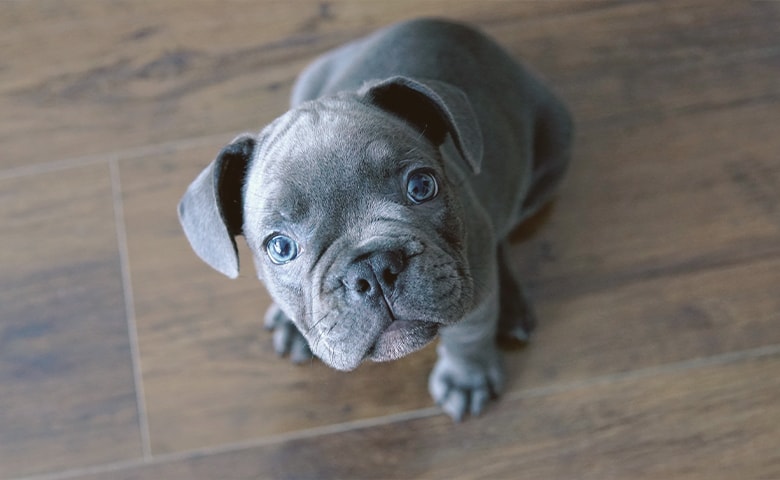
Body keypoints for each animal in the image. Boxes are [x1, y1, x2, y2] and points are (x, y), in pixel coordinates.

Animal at [178, 17, 572, 420]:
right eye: (281, 247)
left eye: (421, 186)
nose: (372, 268)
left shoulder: (473, 291)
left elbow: (469, 333)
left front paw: (465, 378)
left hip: (551, 155)